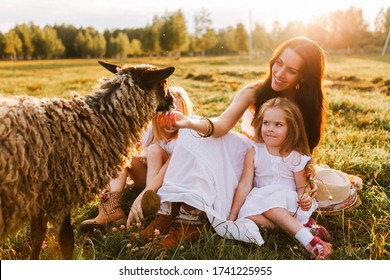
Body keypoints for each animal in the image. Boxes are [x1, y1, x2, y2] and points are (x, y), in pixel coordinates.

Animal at [0, 60, 175, 260]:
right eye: (163, 83)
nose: (173, 102)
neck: (94, 122)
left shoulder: (39, 196)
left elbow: (38, 235)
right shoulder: (61, 194)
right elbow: (66, 241)